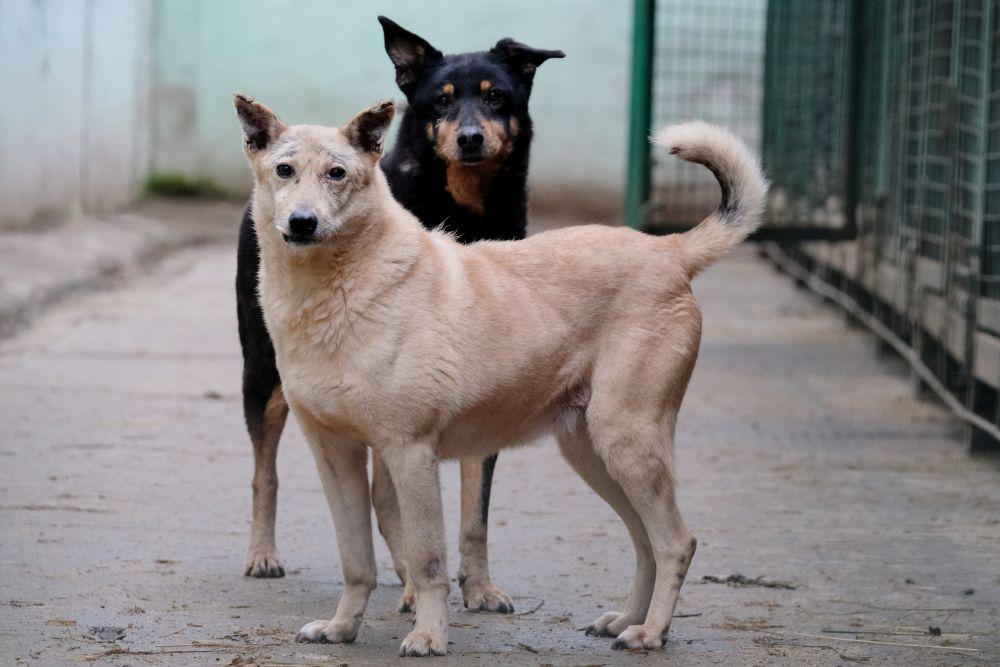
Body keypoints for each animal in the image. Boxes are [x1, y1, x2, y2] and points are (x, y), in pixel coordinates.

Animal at [232, 94, 764, 656]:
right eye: (284, 170)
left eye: (337, 174)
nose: (302, 222)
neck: (337, 289)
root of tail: (670, 250)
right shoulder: (336, 456)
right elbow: (356, 560)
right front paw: (341, 628)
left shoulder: (410, 453)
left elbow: (428, 562)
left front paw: (429, 635)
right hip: (594, 454)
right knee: (646, 543)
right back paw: (624, 621)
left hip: (628, 444)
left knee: (676, 543)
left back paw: (650, 632)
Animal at [236, 14, 564, 612]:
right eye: (441, 100)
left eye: (496, 96)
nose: (470, 138)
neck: (462, 210)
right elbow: (392, 505)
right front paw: (419, 586)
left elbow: (474, 511)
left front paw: (479, 586)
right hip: (263, 374)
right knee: (264, 473)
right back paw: (264, 554)